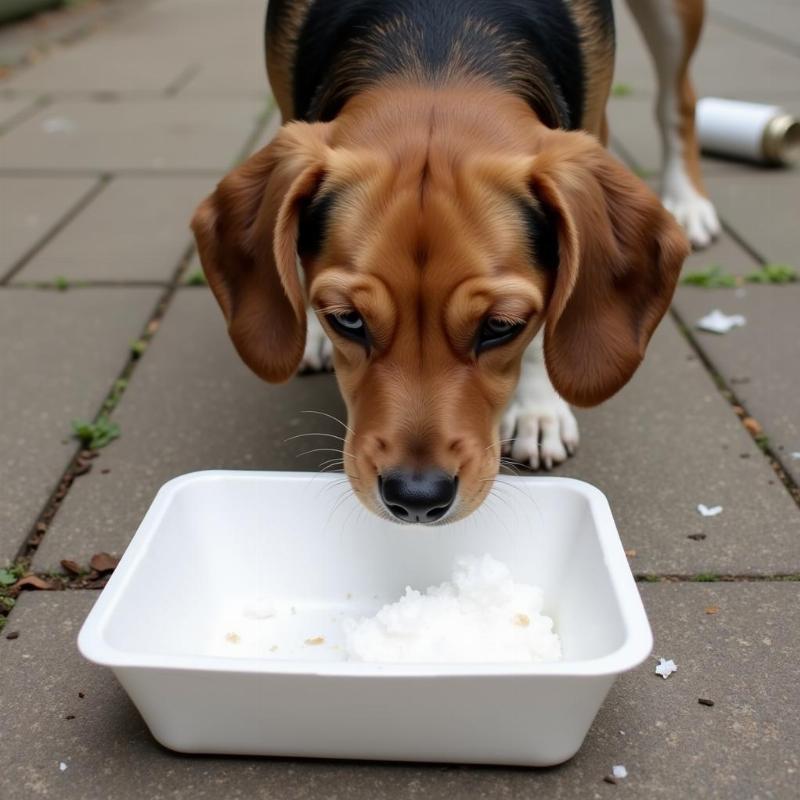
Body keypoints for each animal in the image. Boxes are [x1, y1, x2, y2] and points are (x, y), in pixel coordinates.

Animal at [191, 0, 716, 524]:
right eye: (347, 320)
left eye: (501, 326)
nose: (417, 498)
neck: (438, 46)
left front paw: (538, 408)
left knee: (679, 100)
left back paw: (688, 202)